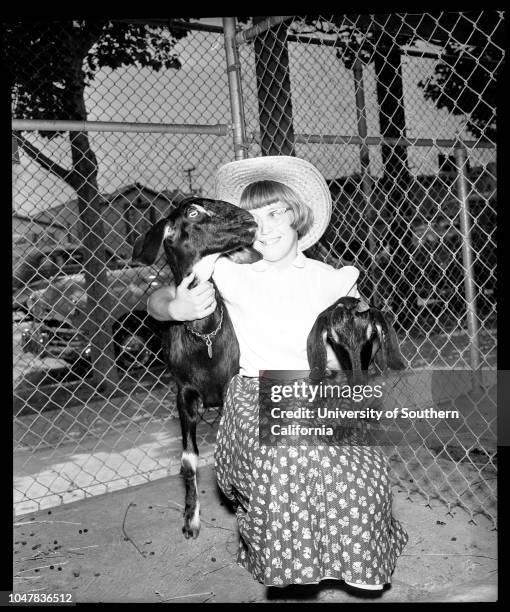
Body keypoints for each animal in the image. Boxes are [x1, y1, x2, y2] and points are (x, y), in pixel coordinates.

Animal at [132, 196, 258, 536]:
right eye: (192, 212)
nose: (249, 219)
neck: (205, 339)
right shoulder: (184, 392)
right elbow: (188, 460)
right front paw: (191, 519)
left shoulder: (231, 387)